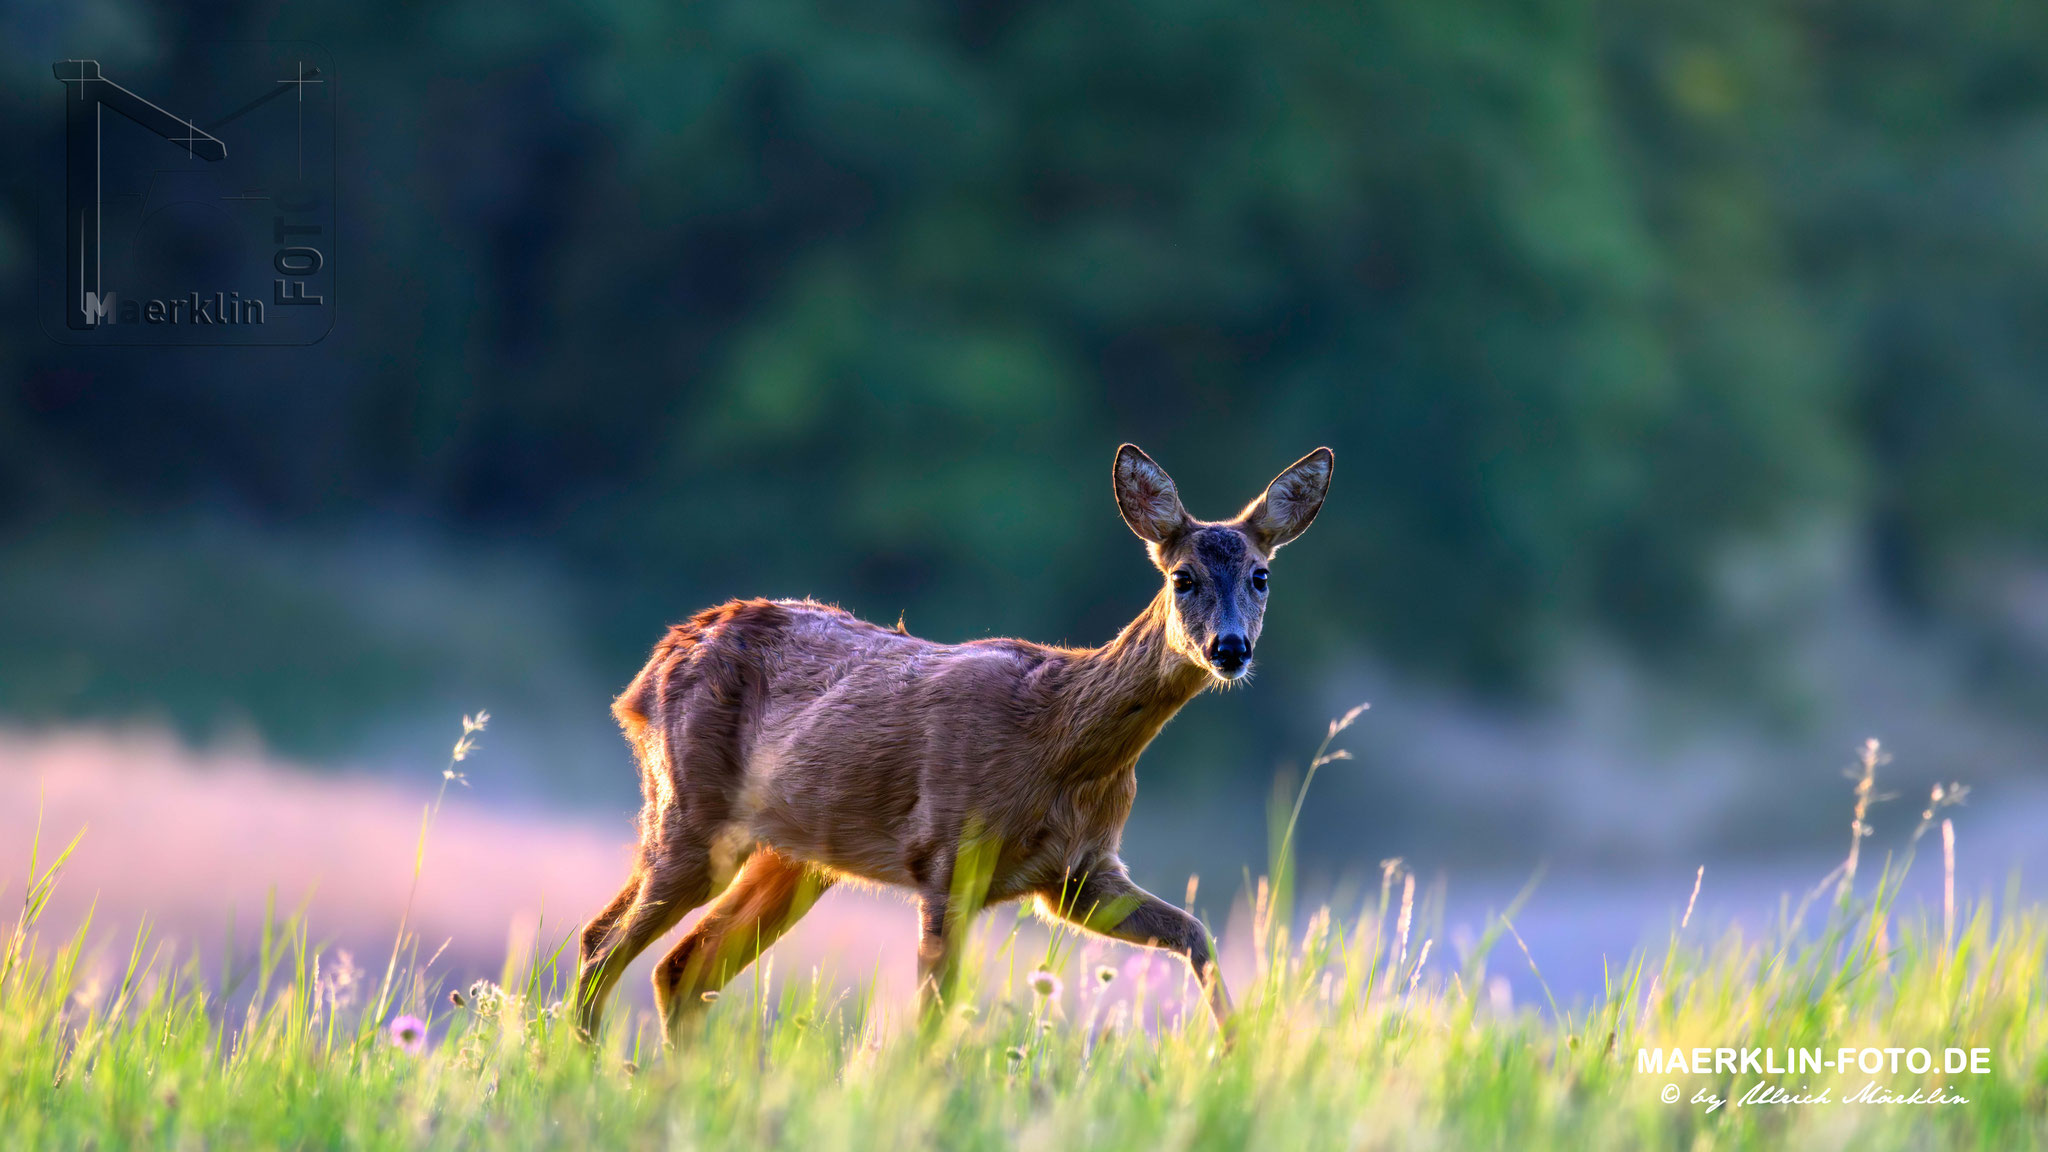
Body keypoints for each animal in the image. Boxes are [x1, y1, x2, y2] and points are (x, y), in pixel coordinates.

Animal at [577, 438, 1335, 1041]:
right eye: (1183, 578)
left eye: (1261, 576)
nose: (1230, 648)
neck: (1060, 744)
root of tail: (649, 669)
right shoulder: (947, 858)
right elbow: (933, 1017)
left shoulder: (1081, 876)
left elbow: (1197, 934)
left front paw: (1237, 1057)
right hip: (687, 810)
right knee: (601, 942)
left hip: (792, 856)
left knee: (681, 968)